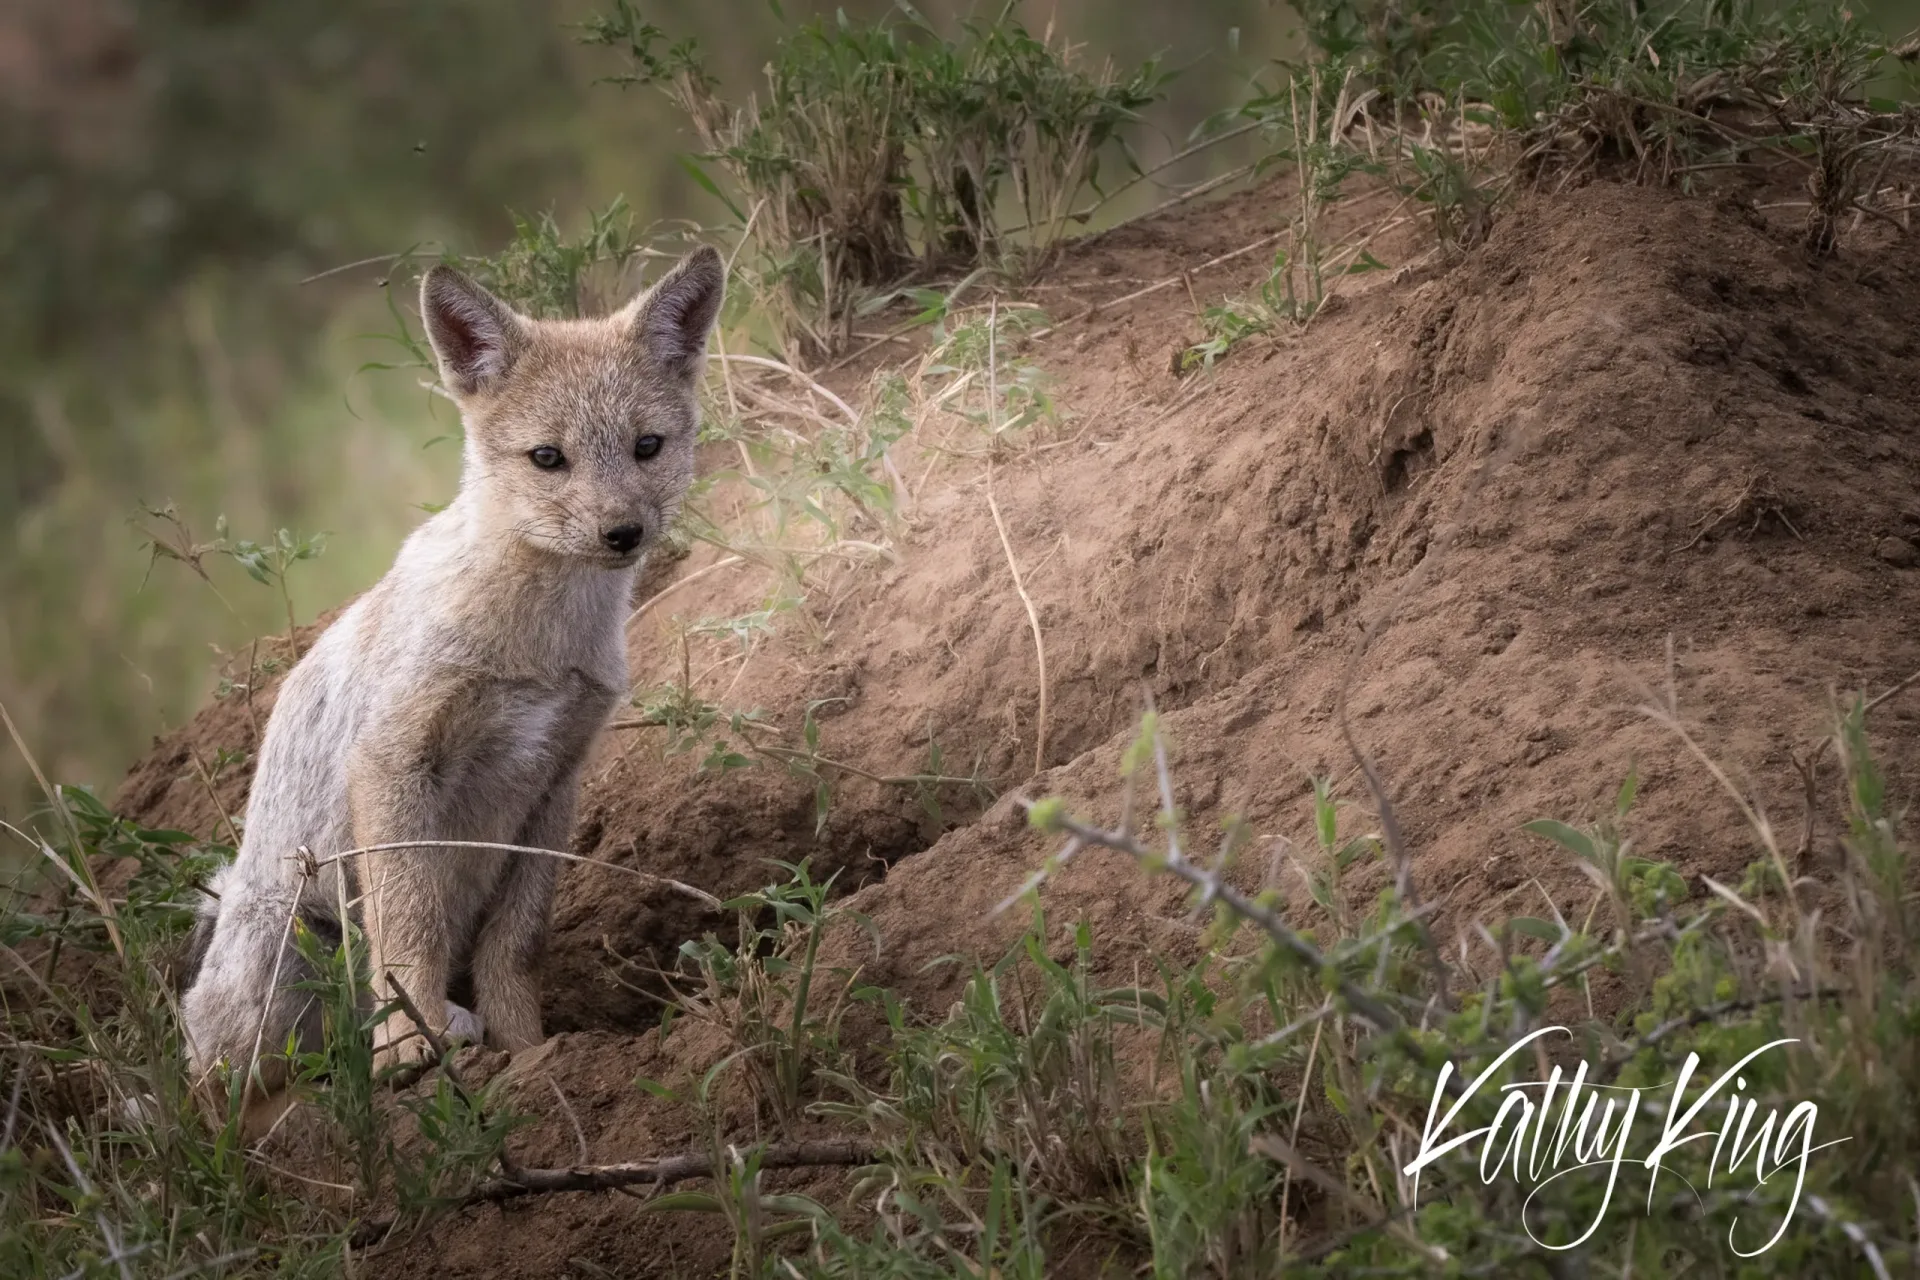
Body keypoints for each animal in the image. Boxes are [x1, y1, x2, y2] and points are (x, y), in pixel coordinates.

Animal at [179, 245, 724, 1137]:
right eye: (548, 458)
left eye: (647, 445)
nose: (623, 535)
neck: (539, 640)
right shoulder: (393, 762)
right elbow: (412, 932)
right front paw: (412, 1044)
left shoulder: (553, 782)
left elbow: (515, 949)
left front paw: (532, 1051)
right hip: (287, 945)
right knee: (235, 1100)